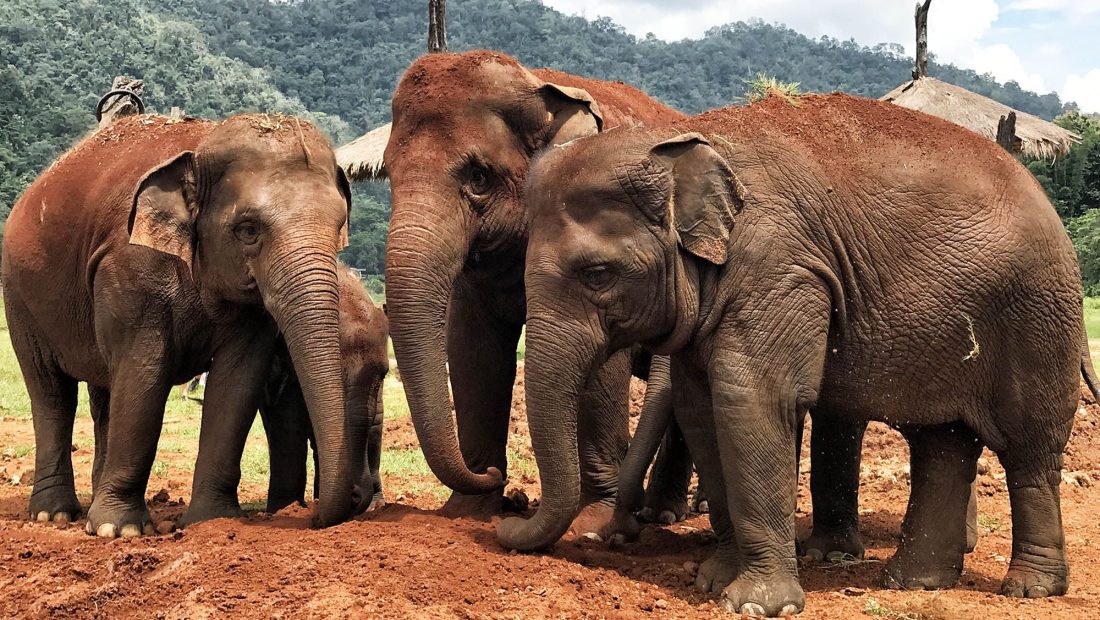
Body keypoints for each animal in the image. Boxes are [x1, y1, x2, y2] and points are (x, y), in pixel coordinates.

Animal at [2, 113, 358, 537]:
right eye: (248, 230)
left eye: (339, 226)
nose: (312, 516)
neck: (202, 145)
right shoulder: (131, 268)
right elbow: (144, 373)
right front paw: (120, 530)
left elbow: (237, 382)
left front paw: (213, 520)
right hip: (19, 296)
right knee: (51, 392)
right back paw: (54, 514)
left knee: (103, 392)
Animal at [375, 50, 688, 533]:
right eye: (388, 173)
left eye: (479, 176)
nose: (500, 481)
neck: (540, 86)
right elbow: (473, 350)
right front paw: (467, 511)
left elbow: (606, 369)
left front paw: (593, 520)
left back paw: (667, 513)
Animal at [501, 93, 1099, 616]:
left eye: (597, 274)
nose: (509, 512)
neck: (680, 140)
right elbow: (702, 409)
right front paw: (713, 581)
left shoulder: (779, 266)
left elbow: (753, 399)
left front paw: (760, 605)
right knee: (943, 443)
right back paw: (914, 582)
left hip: (1040, 317)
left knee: (1028, 449)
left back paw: (1029, 590)